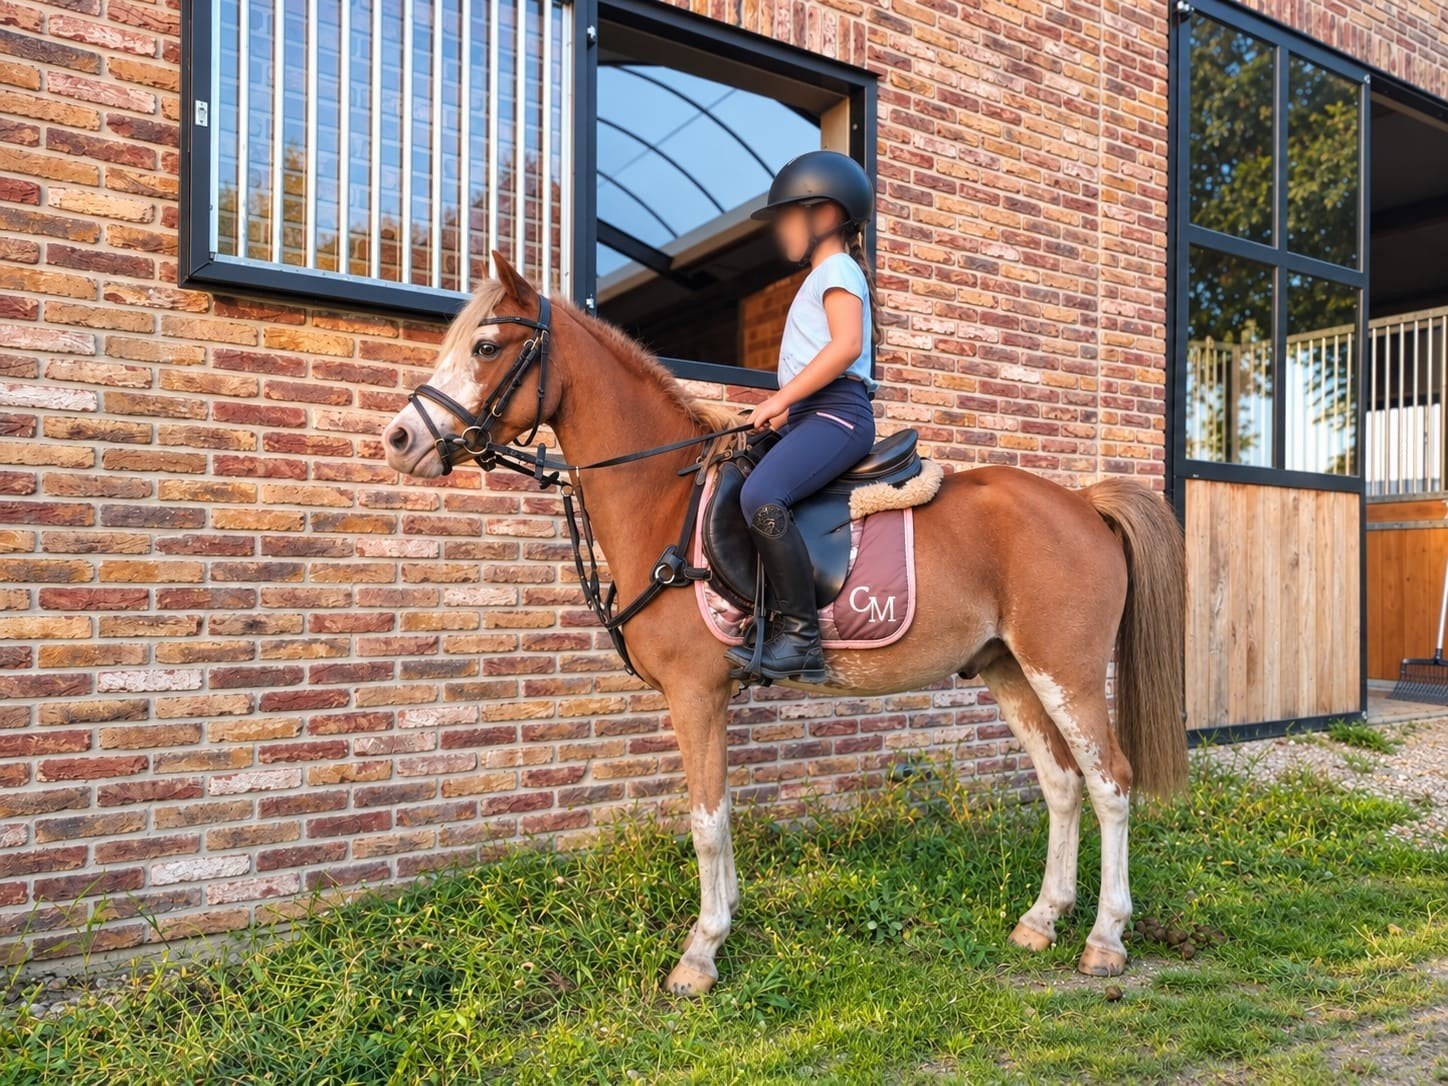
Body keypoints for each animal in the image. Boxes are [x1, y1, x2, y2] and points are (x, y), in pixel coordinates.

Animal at [381, 253, 1187, 996]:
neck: (665, 501)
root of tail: (1083, 503)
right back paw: (1042, 919)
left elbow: (706, 821)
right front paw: (725, 918)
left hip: (1065, 668)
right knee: (1062, 783)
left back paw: (1105, 938)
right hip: (1009, 668)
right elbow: (722, 813)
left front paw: (701, 953)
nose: (399, 440)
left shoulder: (695, 693)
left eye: (487, 346)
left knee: (1111, 783)